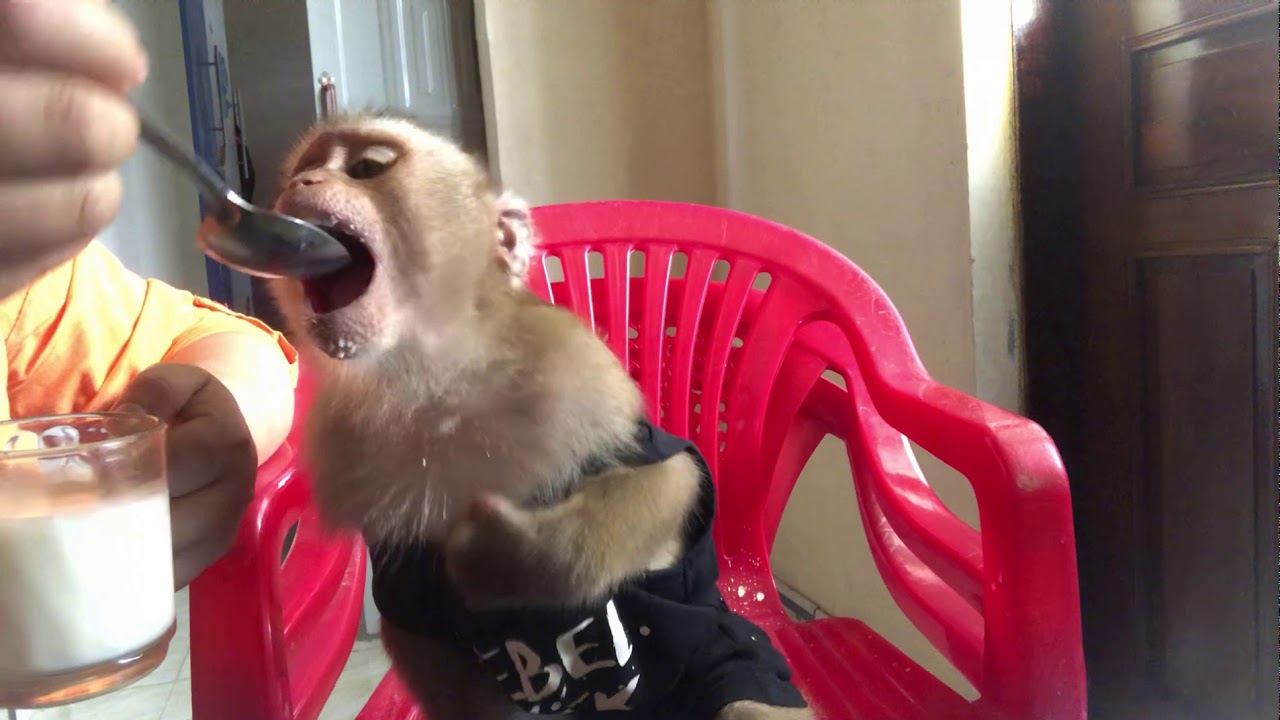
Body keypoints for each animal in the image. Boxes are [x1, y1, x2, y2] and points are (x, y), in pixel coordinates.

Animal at [268, 112, 814, 720]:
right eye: (305, 168)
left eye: (368, 167)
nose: (304, 184)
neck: (434, 380)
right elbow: (411, 627)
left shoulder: (578, 376)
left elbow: (667, 478)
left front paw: (496, 555)